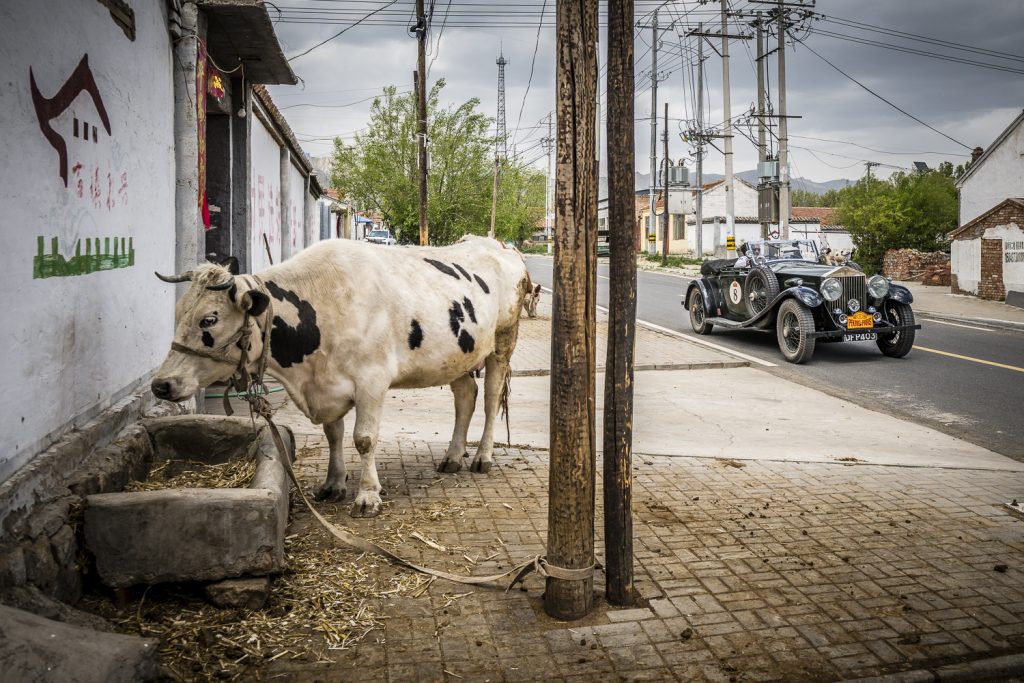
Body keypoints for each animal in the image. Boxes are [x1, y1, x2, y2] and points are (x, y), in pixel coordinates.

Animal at [151, 236, 532, 517]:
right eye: (178, 312)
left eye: (209, 320)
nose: (160, 385)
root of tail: (500, 245)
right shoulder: (327, 384)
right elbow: (333, 434)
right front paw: (333, 484)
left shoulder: (372, 381)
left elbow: (364, 439)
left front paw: (368, 495)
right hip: (456, 356)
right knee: (465, 396)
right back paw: (453, 456)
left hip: (503, 343)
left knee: (490, 399)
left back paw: (482, 457)